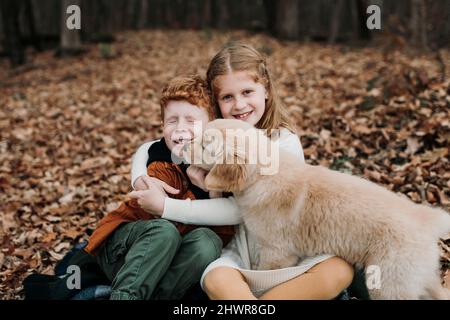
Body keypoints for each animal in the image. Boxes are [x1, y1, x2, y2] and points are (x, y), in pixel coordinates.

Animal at [183, 118, 450, 300]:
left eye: (206, 147)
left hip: (389, 281)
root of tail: (426, 217)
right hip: (419, 277)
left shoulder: (277, 253)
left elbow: (263, 276)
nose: (183, 145)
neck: (263, 175)